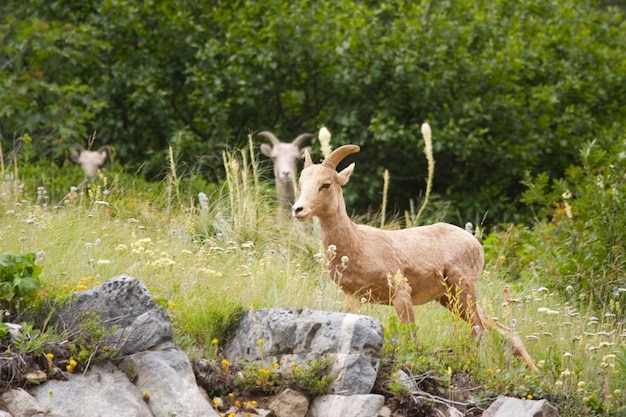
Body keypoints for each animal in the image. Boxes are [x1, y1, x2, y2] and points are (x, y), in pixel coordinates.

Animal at [290, 143, 532, 368]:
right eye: (301, 184)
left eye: (326, 184)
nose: (298, 209)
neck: (357, 244)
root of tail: (475, 243)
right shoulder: (353, 297)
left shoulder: (401, 295)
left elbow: (411, 337)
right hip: (450, 299)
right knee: (501, 330)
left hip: (462, 290)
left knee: (480, 329)